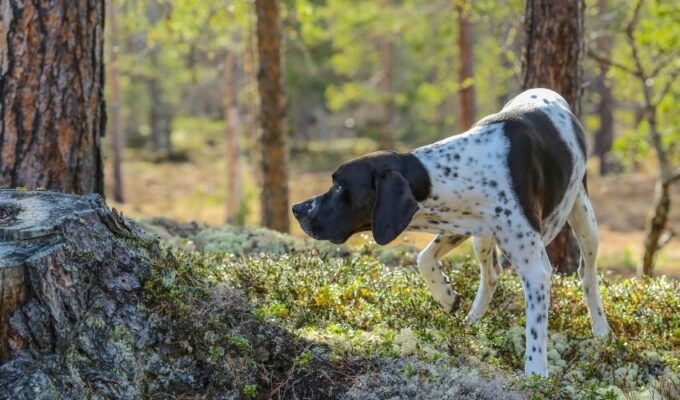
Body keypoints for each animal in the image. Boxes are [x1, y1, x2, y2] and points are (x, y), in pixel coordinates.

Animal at [292, 87, 612, 376]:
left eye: (339, 186)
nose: (297, 208)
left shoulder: (535, 268)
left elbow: (535, 331)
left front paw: (535, 375)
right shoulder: (458, 221)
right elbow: (424, 259)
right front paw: (446, 295)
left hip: (584, 217)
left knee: (587, 274)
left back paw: (601, 330)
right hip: (481, 238)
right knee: (491, 274)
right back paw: (473, 320)